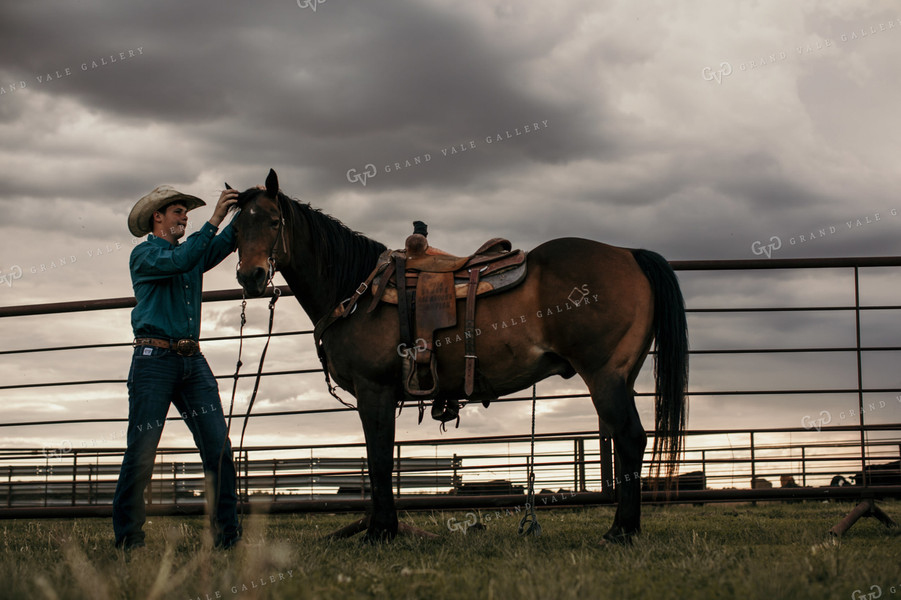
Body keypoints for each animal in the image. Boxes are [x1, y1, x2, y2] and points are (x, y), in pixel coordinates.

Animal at [229, 169, 684, 544]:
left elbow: (378, 462)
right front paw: (383, 529)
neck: (354, 289)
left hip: (605, 376)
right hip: (620, 377)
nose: (250, 276)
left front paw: (380, 532)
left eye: (273, 221)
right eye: (235, 229)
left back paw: (621, 531)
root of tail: (629, 253)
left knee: (631, 439)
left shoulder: (374, 392)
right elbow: (381, 462)